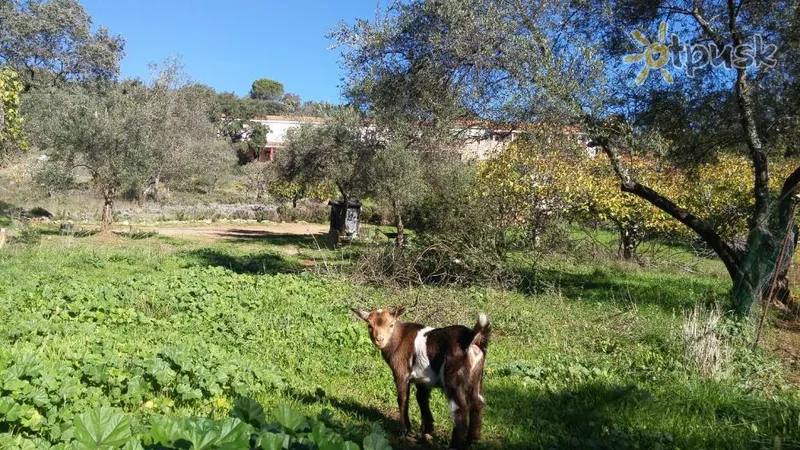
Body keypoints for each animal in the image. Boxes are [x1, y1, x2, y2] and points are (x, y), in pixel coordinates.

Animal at [354, 306, 490, 450]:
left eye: (391, 325)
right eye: (369, 325)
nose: (379, 340)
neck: (399, 337)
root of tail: (473, 339)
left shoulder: (401, 373)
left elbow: (402, 399)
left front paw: (405, 429)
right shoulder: (423, 380)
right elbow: (421, 399)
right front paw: (427, 430)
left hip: (453, 378)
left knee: (460, 408)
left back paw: (454, 445)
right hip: (477, 377)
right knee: (477, 402)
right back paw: (472, 440)